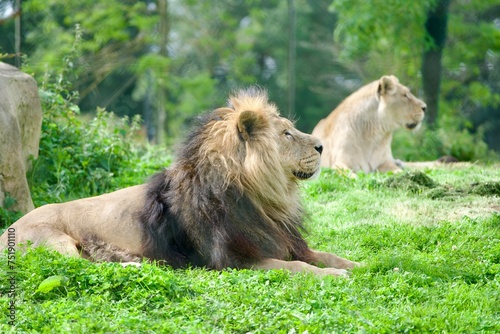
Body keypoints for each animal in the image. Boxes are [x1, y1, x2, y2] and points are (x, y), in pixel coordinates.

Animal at [0, 87, 360, 276]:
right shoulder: (235, 262)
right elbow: (299, 267)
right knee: (82, 268)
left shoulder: (282, 241)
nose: (321, 146)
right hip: (55, 242)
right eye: (286, 134)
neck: (266, 200)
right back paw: (134, 265)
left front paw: (361, 263)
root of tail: (7, 231)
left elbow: (327, 255)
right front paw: (335, 275)